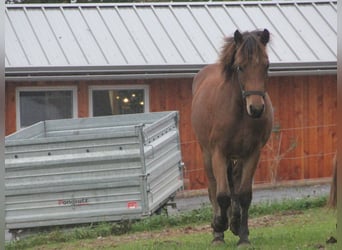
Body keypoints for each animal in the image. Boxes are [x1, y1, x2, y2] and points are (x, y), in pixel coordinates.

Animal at [191, 29, 274, 246]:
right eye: (240, 67)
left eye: (266, 65)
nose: (256, 108)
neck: (239, 112)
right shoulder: (218, 153)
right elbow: (222, 195)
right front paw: (219, 225)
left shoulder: (252, 153)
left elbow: (243, 195)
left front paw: (243, 235)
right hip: (207, 155)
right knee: (213, 188)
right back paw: (218, 233)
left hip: (237, 157)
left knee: (235, 184)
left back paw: (235, 223)